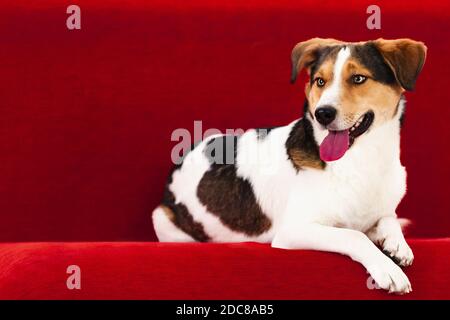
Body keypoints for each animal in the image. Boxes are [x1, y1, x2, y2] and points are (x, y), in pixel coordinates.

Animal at [151, 38, 426, 296]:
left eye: (358, 78)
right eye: (320, 81)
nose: (322, 113)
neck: (362, 158)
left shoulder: (377, 211)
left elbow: (387, 218)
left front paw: (398, 244)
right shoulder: (293, 230)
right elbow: (353, 235)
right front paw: (388, 269)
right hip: (161, 217)